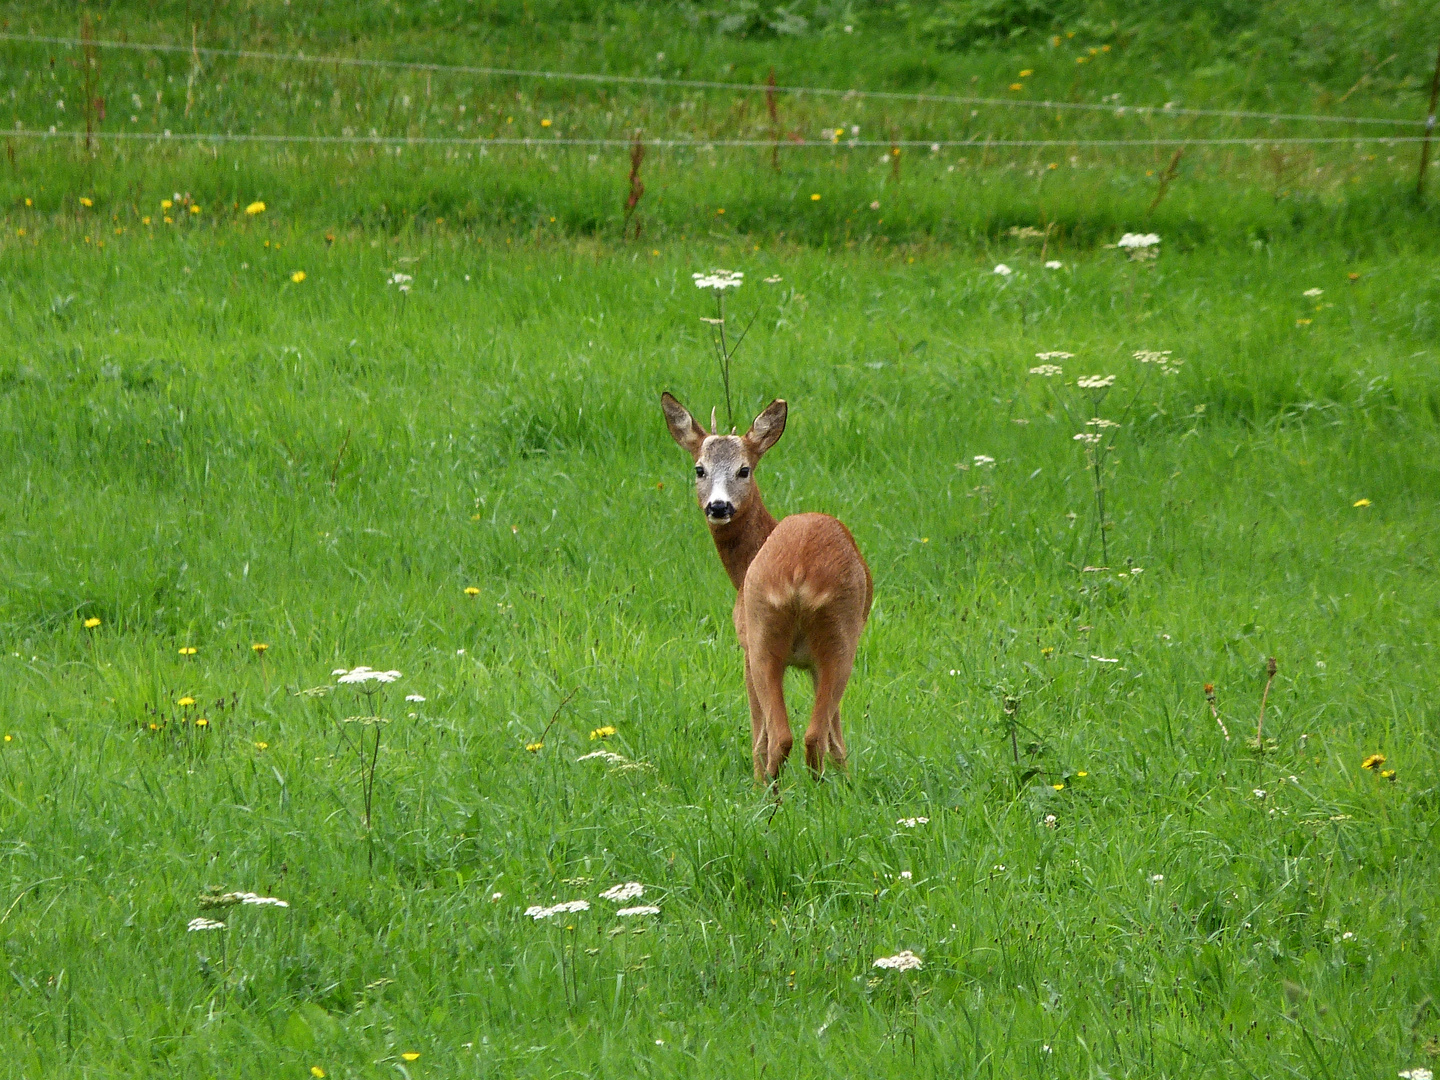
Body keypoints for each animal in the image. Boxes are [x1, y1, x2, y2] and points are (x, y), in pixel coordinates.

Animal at [659, 394, 869, 783]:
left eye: (744, 470)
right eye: (699, 469)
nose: (719, 506)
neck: (742, 567)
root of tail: (799, 573)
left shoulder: (743, 643)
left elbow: (761, 733)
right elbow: (834, 736)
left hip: (765, 637)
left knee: (783, 737)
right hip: (836, 640)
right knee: (813, 734)